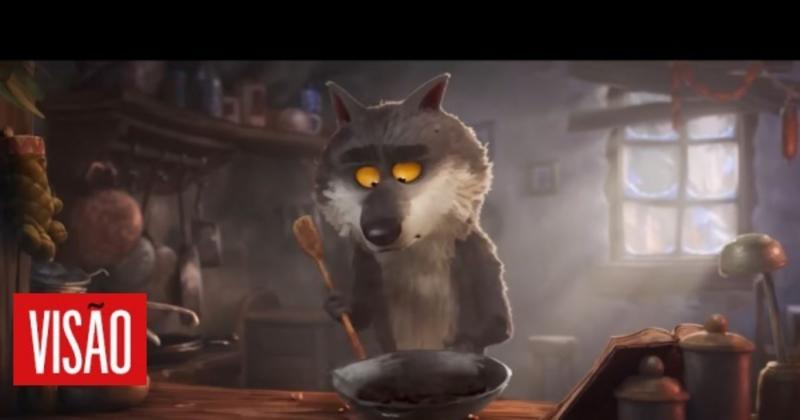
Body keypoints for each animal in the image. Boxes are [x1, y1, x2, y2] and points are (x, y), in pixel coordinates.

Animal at [313, 73, 512, 355]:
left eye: (408, 172)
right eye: (364, 176)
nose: (379, 232)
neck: (414, 254)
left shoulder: (473, 250)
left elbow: (498, 325)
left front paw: (463, 344)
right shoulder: (365, 260)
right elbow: (362, 313)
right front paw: (339, 306)